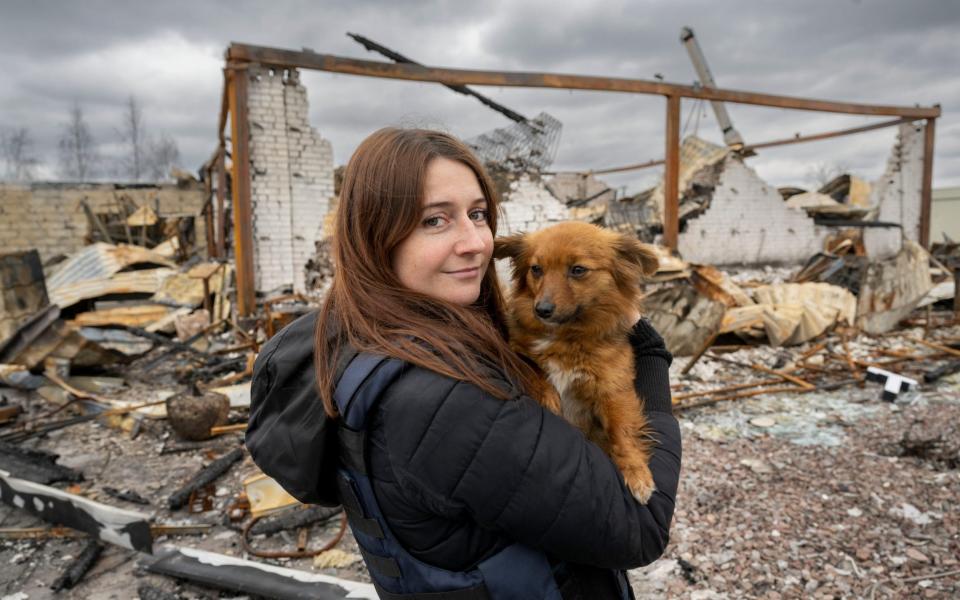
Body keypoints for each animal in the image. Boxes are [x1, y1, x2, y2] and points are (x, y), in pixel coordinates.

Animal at [496, 220, 660, 502]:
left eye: (578, 270)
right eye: (536, 269)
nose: (542, 310)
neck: (566, 337)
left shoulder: (614, 389)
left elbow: (623, 431)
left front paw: (637, 472)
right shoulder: (514, 348)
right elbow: (531, 365)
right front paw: (549, 396)